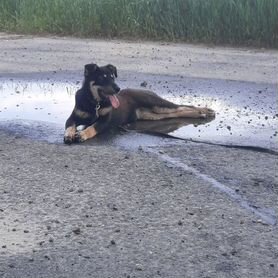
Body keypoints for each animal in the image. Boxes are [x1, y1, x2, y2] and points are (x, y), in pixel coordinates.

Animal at [63, 63, 215, 144]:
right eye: (102, 77)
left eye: (112, 77)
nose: (117, 89)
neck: (94, 103)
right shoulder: (72, 117)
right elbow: (70, 126)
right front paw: (68, 135)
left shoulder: (105, 121)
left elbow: (92, 127)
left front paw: (82, 134)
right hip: (153, 115)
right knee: (177, 112)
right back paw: (202, 113)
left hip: (157, 105)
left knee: (181, 107)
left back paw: (203, 112)